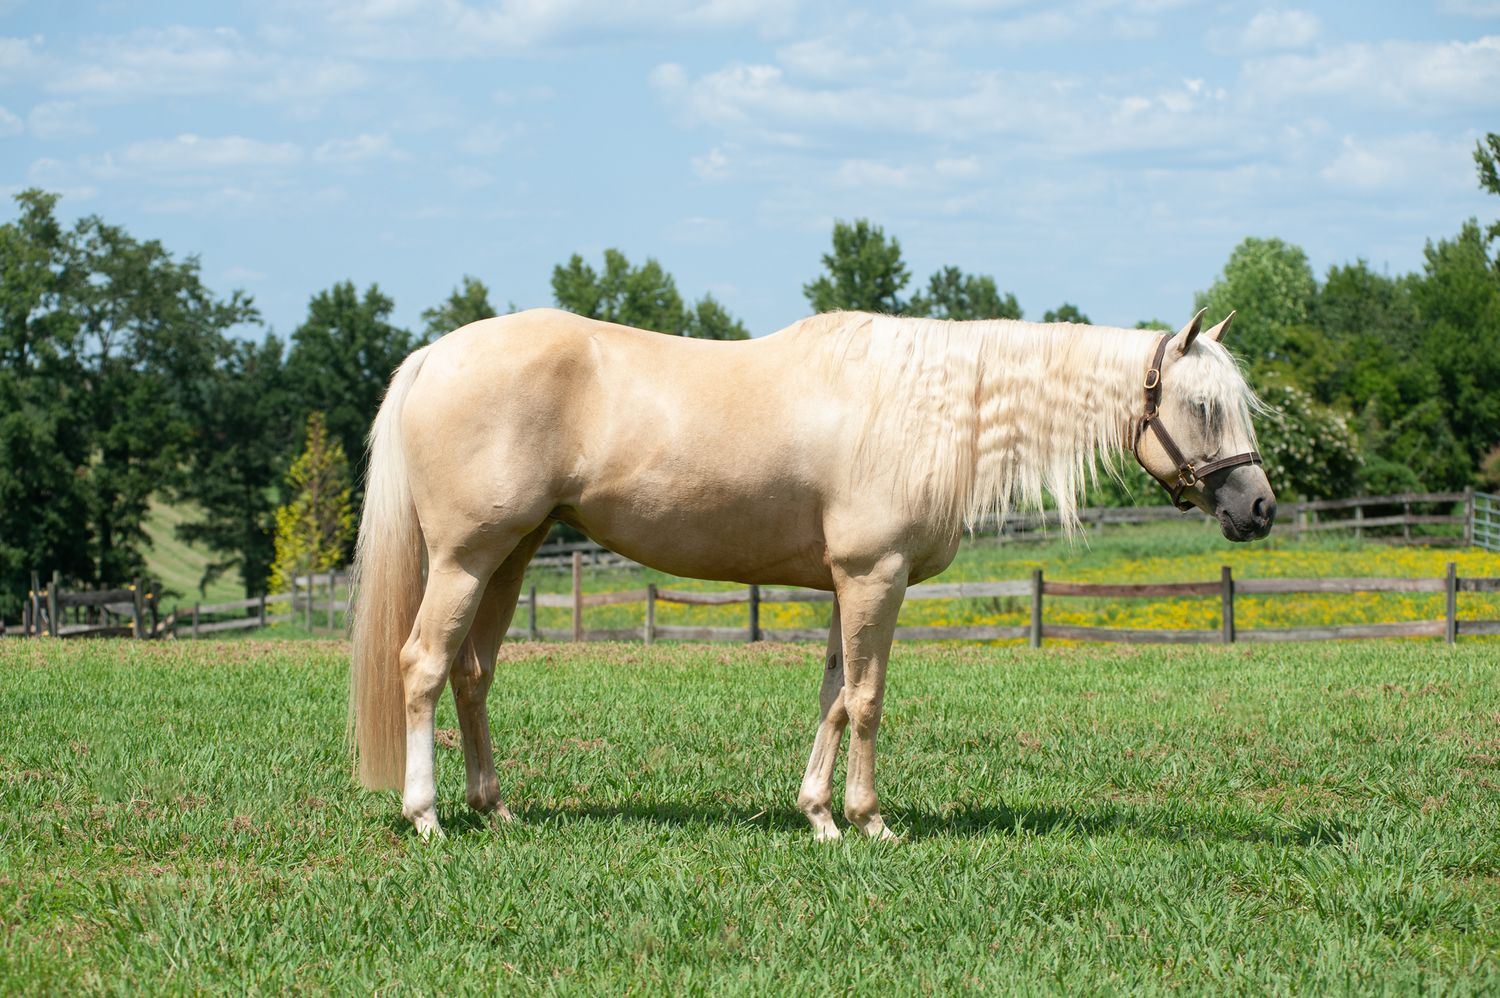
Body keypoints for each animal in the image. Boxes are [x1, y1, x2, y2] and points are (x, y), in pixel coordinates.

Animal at [349, 306, 1276, 840]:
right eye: (1200, 406)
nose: (1259, 507)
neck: (926, 402)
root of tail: (434, 355)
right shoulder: (876, 577)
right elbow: (867, 700)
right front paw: (869, 823)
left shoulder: (846, 585)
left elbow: (833, 695)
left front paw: (820, 817)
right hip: (466, 558)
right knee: (423, 667)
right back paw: (426, 818)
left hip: (509, 556)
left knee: (473, 674)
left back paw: (495, 808)